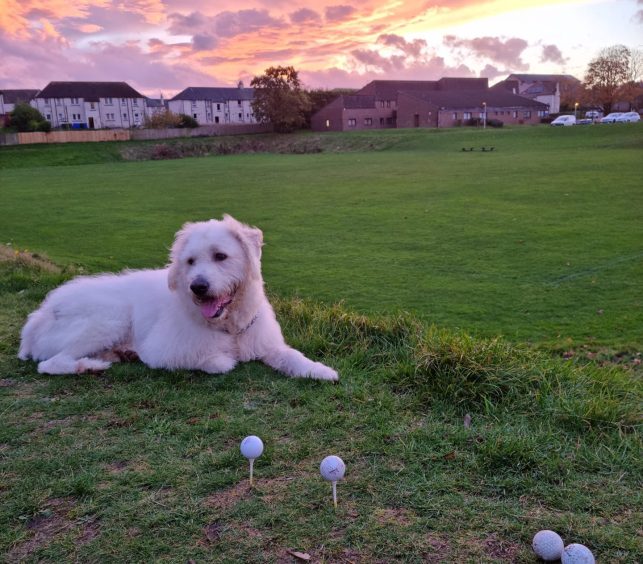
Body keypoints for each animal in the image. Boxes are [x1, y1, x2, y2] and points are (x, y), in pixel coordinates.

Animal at [17, 216, 340, 384]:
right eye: (190, 261)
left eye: (220, 256)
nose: (198, 287)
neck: (230, 327)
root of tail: (38, 316)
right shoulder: (160, 352)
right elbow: (215, 361)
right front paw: (221, 359)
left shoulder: (269, 345)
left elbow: (292, 357)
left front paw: (321, 370)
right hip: (108, 319)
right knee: (51, 364)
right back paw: (90, 366)